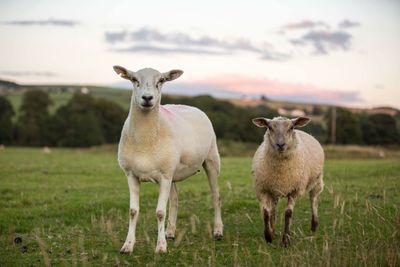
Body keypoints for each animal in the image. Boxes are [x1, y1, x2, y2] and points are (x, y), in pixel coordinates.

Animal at [114, 66, 223, 254]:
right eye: (134, 79)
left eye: (161, 80)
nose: (147, 98)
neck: (144, 140)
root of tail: (189, 106)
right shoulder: (131, 175)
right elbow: (133, 211)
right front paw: (127, 245)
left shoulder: (164, 176)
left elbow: (159, 212)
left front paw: (160, 247)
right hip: (171, 170)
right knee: (175, 199)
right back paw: (170, 232)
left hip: (211, 159)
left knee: (216, 195)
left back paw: (217, 231)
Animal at [252, 116, 324, 247]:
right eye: (269, 127)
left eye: (291, 128)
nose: (280, 145)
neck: (281, 173)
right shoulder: (263, 189)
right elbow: (266, 213)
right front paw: (268, 236)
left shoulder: (295, 190)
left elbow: (288, 213)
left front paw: (286, 240)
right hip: (274, 190)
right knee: (274, 208)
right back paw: (273, 228)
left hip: (317, 181)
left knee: (313, 200)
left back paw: (314, 226)